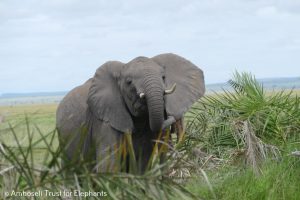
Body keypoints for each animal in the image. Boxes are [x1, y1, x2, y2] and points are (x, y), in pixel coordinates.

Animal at [56, 53, 205, 173]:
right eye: (129, 82)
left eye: (163, 77)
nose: (169, 116)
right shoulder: (105, 119)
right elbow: (109, 165)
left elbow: (143, 162)